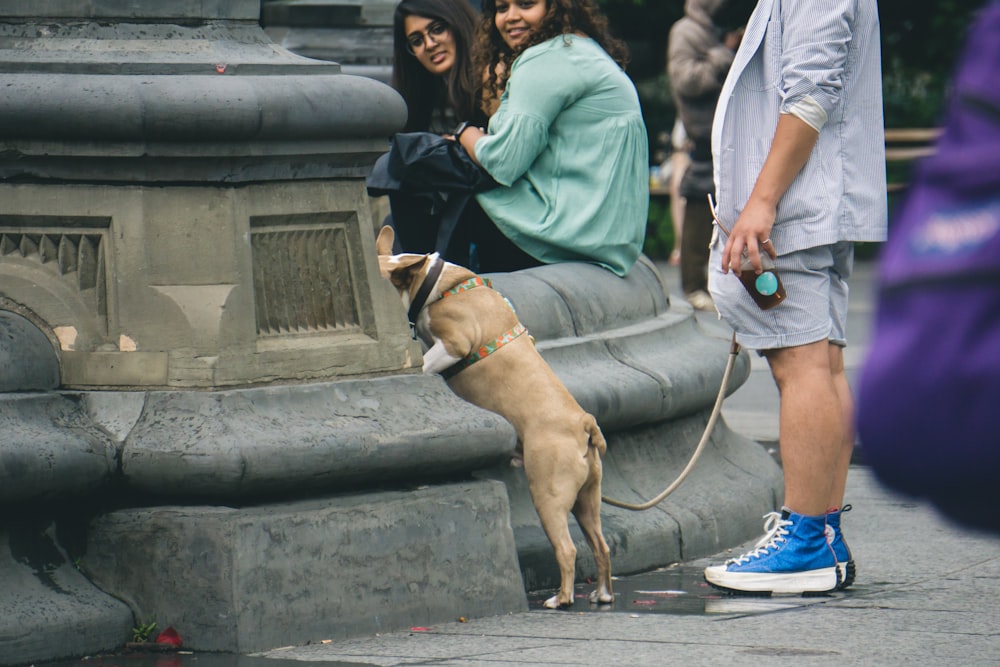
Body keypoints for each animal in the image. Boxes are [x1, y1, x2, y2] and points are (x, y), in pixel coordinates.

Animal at [376, 227, 608, 608]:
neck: (430, 283)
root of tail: (584, 423)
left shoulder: (455, 344)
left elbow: (426, 364)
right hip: (586, 500)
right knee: (601, 546)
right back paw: (602, 594)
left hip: (548, 494)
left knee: (567, 548)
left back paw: (560, 599)